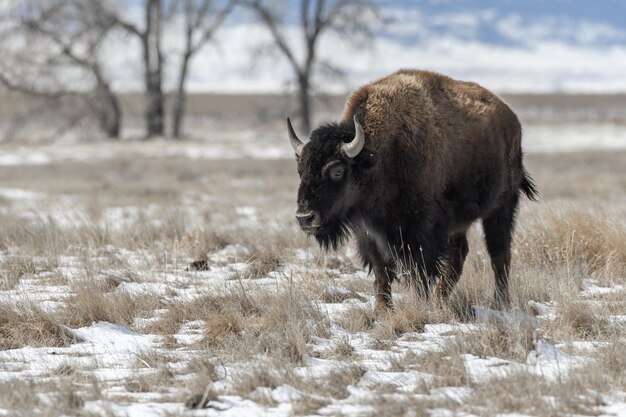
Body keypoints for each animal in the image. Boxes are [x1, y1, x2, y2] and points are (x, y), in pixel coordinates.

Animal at [288, 70, 536, 314]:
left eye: (337, 170)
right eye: (300, 170)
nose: (304, 217)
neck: (377, 158)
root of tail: (511, 119)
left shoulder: (419, 232)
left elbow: (419, 271)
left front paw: (419, 306)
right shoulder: (369, 233)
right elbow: (381, 270)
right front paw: (382, 310)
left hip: (501, 207)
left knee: (499, 253)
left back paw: (499, 303)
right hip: (459, 222)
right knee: (460, 255)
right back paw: (441, 300)